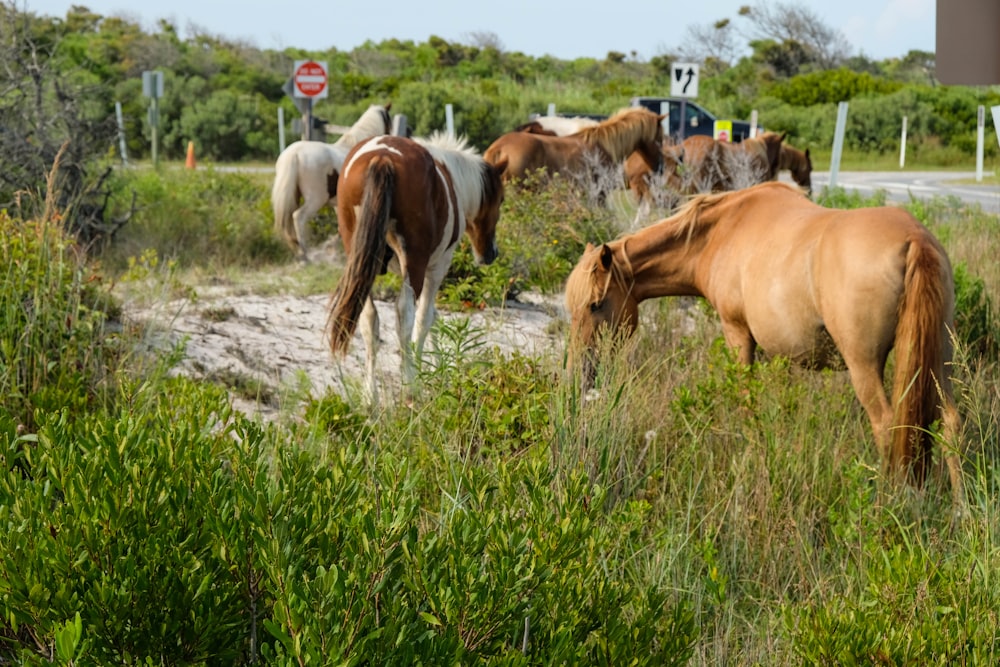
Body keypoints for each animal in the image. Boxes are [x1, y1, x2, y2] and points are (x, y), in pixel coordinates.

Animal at [272, 104, 392, 260]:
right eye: (389, 122)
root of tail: (295, 153)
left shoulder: (339, 204)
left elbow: (342, 227)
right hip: (315, 200)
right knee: (298, 217)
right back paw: (305, 254)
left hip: (294, 197)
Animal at [330, 130, 508, 402]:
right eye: (501, 200)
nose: (490, 254)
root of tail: (383, 158)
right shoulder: (436, 268)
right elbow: (424, 318)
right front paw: (423, 372)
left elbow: (430, 317)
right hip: (414, 262)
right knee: (405, 315)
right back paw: (410, 387)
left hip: (359, 259)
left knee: (368, 318)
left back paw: (371, 396)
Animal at [564, 180, 960, 504]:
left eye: (595, 304)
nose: (581, 371)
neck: (721, 232)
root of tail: (914, 239)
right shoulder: (780, 351)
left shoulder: (737, 333)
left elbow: (746, 403)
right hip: (939, 359)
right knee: (950, 423)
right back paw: (960, 506)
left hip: (863, 365)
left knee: (888, 425)